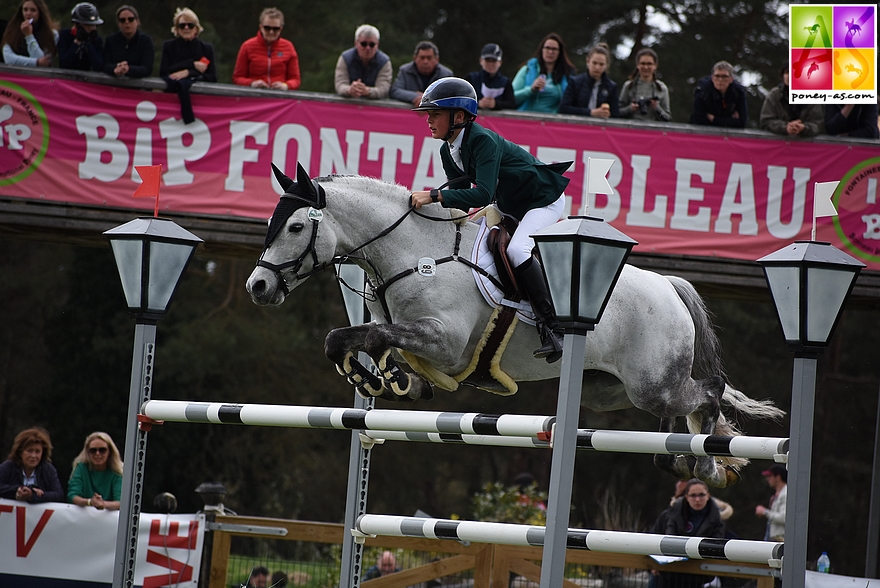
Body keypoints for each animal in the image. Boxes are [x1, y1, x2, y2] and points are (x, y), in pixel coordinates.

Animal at [248, 164, 784, 486]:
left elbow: (373, 337)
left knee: (709, 391)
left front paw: (377, 375)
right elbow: (348, 339)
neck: (412, 252)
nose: (258, 286)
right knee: (678, 406)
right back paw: (671, 454)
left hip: (652, 383)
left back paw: (706, 464)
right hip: (608, 390)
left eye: (296, 226)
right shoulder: (413, 338)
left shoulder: (444, 342)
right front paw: (384, 378)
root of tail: (669, 286)